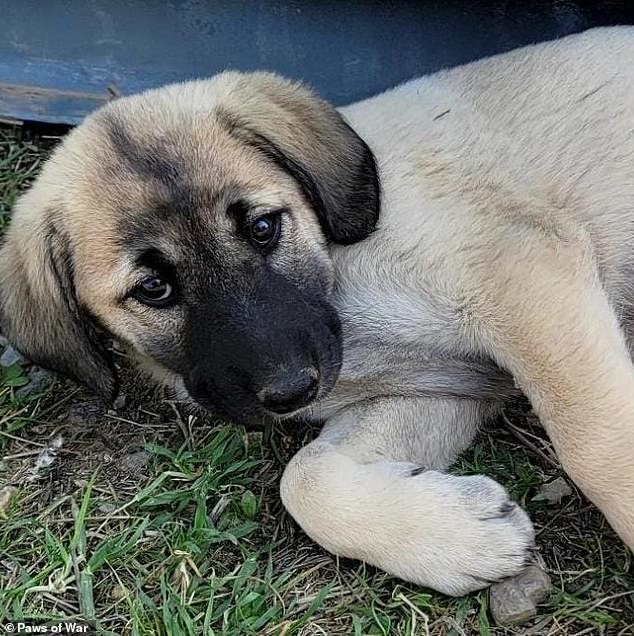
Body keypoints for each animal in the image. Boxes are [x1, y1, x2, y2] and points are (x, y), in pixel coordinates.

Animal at [1, 27, 632, 596]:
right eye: (153, 288)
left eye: (263, 227)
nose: (292, 389)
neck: (340, 276)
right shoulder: (442, 390)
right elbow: (304, 481)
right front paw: (458, 537)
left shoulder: (524, 271)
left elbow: (597, 444)